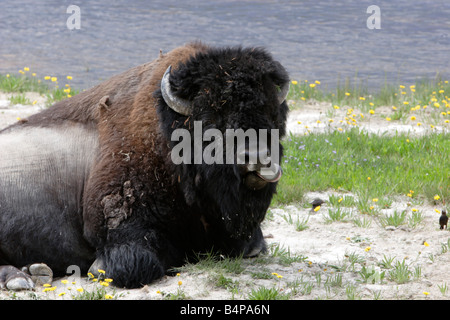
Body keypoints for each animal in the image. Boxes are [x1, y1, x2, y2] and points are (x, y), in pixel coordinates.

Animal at [0, 41, 288, 288]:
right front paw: (96, 268)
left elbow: (253, 247)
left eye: (273, 114)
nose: (257, 157)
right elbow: (131, 264)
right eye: (211, 120)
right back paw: (22, 278)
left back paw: (36, 271)